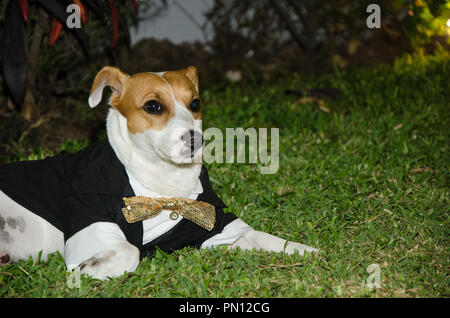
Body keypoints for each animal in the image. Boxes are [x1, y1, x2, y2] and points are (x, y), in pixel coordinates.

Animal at [0, 66, 316, 280]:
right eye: (153, 106)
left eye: (195, 103)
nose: (195, 139)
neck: (164, 186)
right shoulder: (87, 229)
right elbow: (130, 250)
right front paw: (89, 271)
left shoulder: (218, 230)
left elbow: (267, 238)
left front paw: (307, 251)